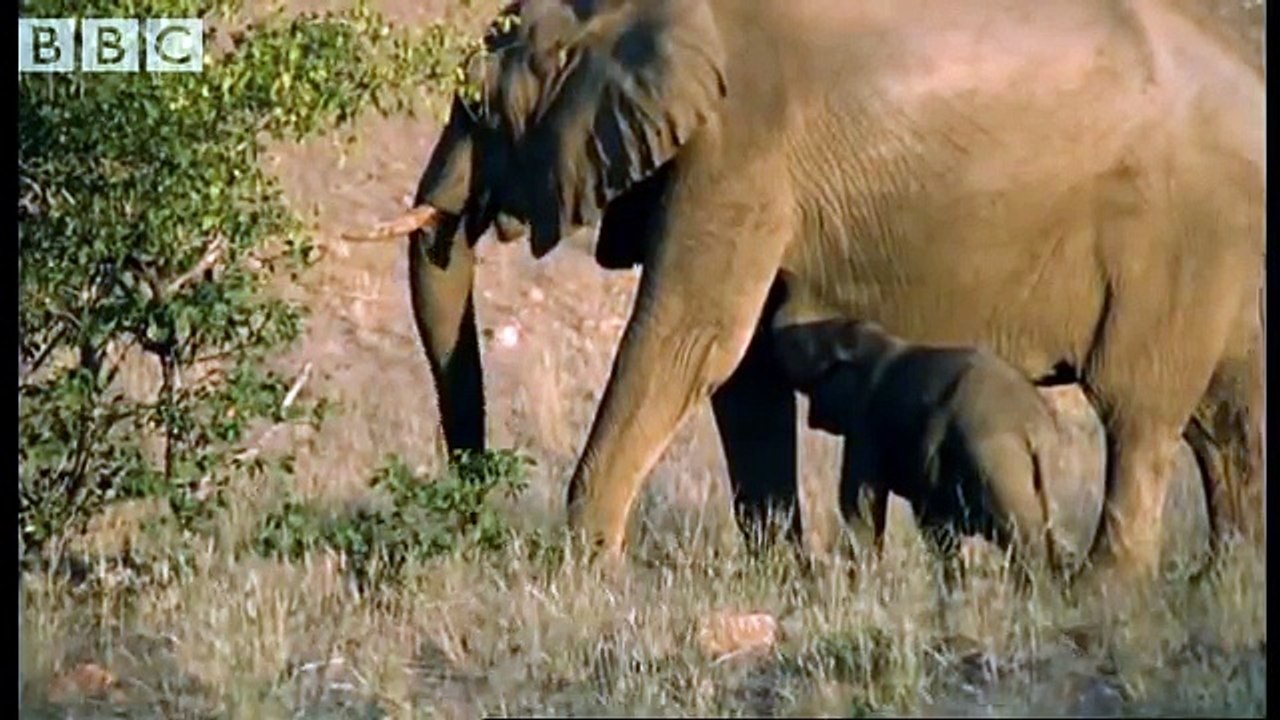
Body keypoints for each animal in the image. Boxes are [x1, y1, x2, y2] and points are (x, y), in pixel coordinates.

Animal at [775, 318, 1072, 590]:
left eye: (803, 347)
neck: (874, 340)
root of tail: (1033, 430)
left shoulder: (867, 426)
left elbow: (860, 502)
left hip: (997, 469)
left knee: (1021, 542)